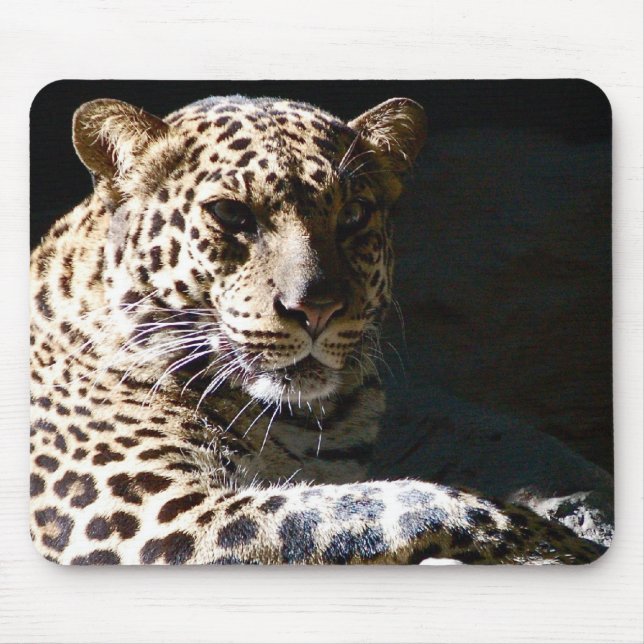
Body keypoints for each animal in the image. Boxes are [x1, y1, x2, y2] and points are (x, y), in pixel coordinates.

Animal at [29, 94, 604, 565]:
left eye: (353, 215)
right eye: (231, 214)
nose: (315, 309)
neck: (299, 424)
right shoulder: (154, 515)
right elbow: (384, 501)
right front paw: (564, 542)